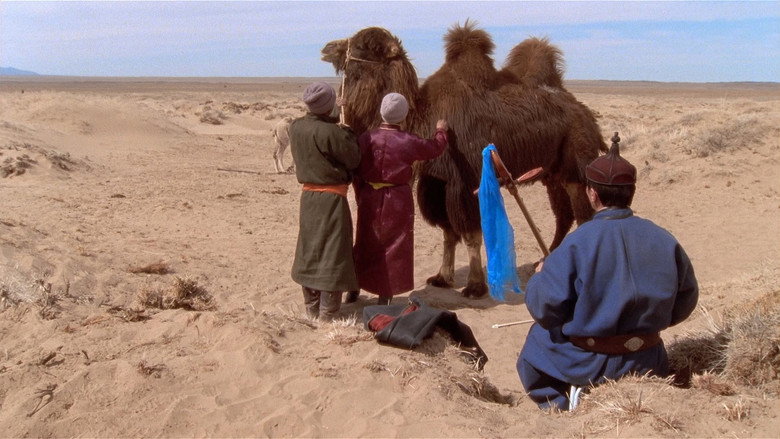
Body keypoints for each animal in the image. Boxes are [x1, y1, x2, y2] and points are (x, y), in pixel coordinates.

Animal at [321, 22, 607, 298]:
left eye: (365, 45)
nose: (327, 48)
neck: (422, 118)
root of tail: (584, 113)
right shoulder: (438, 183)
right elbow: (448, 233)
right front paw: (442, 278)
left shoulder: (464, 182)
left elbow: (470, 234)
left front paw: (475, 286)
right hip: (551, 173)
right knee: (564, 215)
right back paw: (544, 262)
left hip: (576, 162)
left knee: (581, 212)